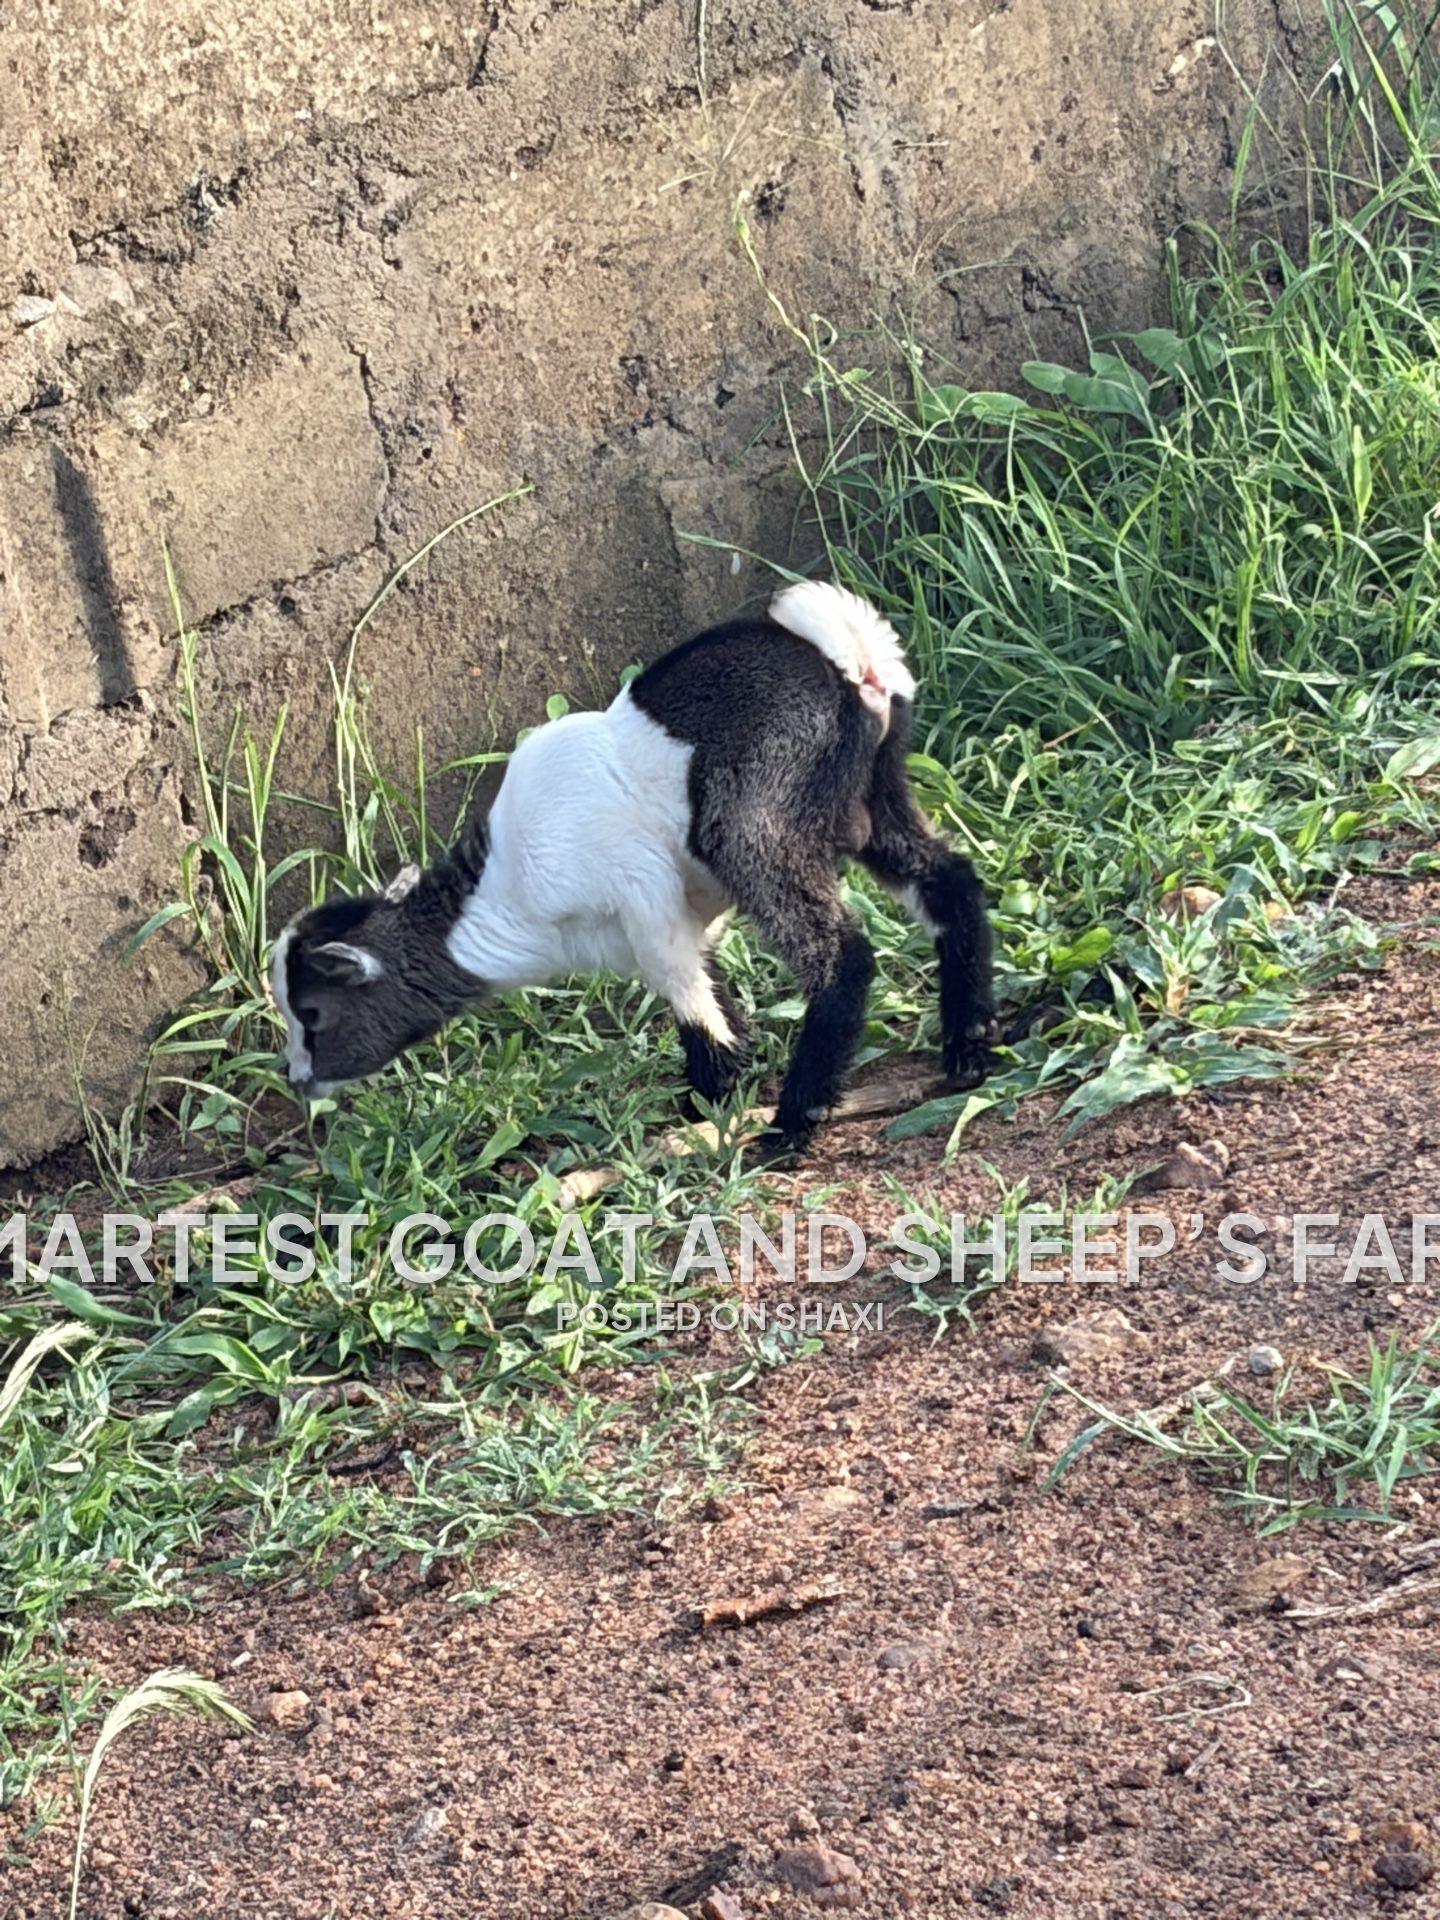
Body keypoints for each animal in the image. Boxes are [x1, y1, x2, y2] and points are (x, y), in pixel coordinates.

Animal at [270, 580, 993, 1155]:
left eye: (312, 1014)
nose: (298, 1080)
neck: (507, 896)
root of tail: (849, 664)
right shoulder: (692, 914)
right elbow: (711, 985)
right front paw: (719, 1086)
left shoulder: (645, 897)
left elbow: (685, 993)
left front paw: (710, 1094)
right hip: (874, 795)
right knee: (949, 880)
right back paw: (969, 1043)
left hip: (753, 822)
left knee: (842, 952)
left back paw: (794, 1122)